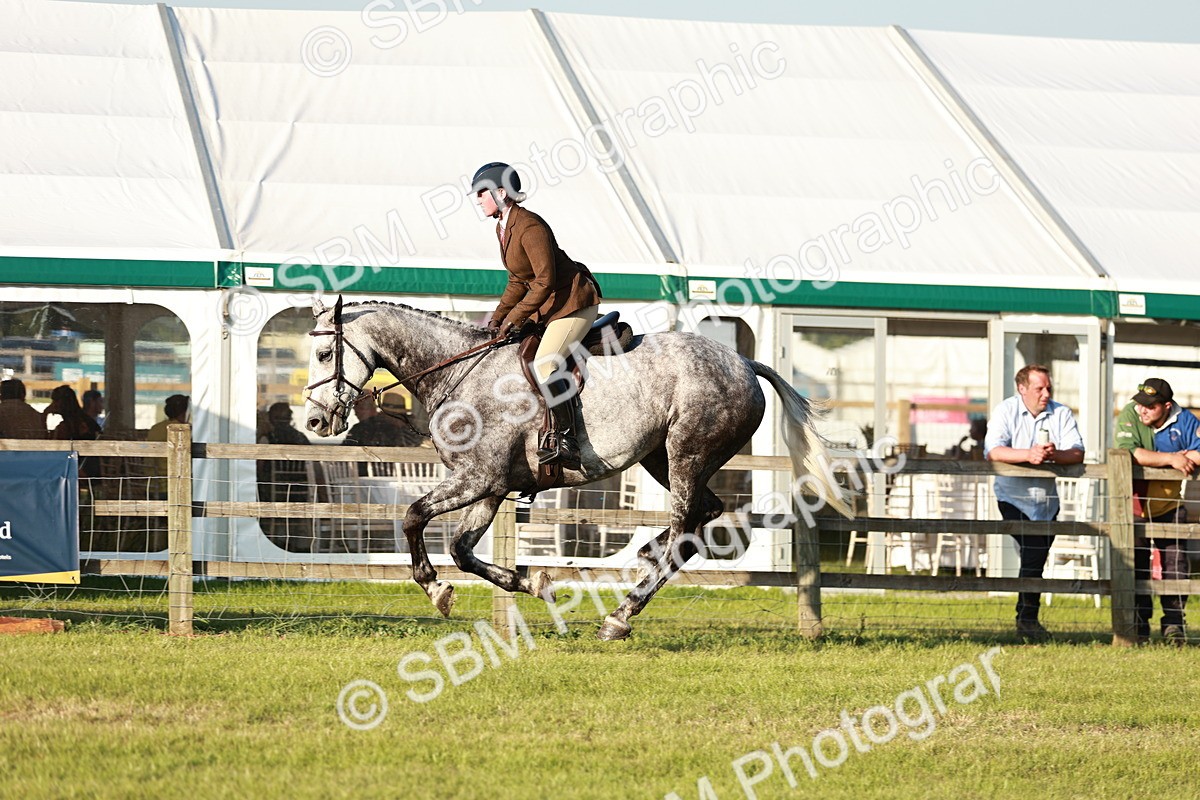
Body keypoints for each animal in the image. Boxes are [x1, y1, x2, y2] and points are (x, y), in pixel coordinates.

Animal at [302, 296, 852, 640]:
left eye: (325, 352)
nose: (314, 420)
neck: (462, 371)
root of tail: (744, 363)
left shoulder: (477, 480)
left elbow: (414, 516)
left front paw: (436, 590)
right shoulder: (490, 487)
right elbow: (461, 549)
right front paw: (534, 584)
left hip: (686, 454)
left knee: (684, 525)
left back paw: (622, 615)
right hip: (660, 457)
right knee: (701, 517)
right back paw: (643, 563)